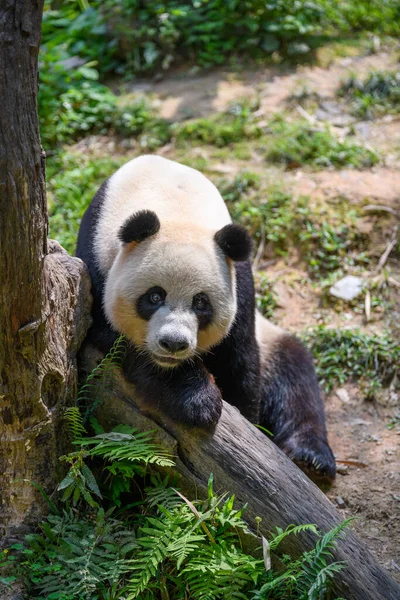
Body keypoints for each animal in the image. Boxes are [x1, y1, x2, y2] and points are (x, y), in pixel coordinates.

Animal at [76, 154, 336, 482]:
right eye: (154, 297)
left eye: (201, 303)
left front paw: (245, 423)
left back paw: (310, 457)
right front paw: (198, 401)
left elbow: (238, 359)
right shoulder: (95, 259)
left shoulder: (238, 280)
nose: (173, 344)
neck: (175, 206)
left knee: (294, 378)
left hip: (273, 343)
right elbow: (115, 338)